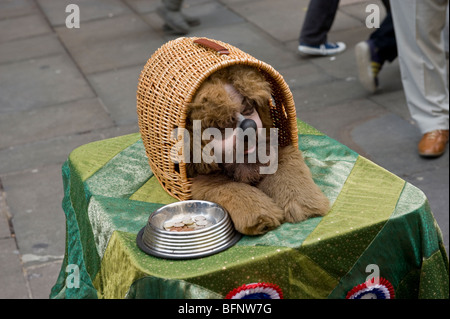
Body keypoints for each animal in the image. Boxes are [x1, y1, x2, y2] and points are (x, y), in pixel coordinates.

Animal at [185, 65, 328, 236]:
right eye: (223, 124)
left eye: (248, 110)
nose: (249, 126)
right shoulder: (205, 181)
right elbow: (228, 189)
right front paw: (260, 217)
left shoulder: (278, 154)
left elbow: (288, 172)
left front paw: (303, 204)